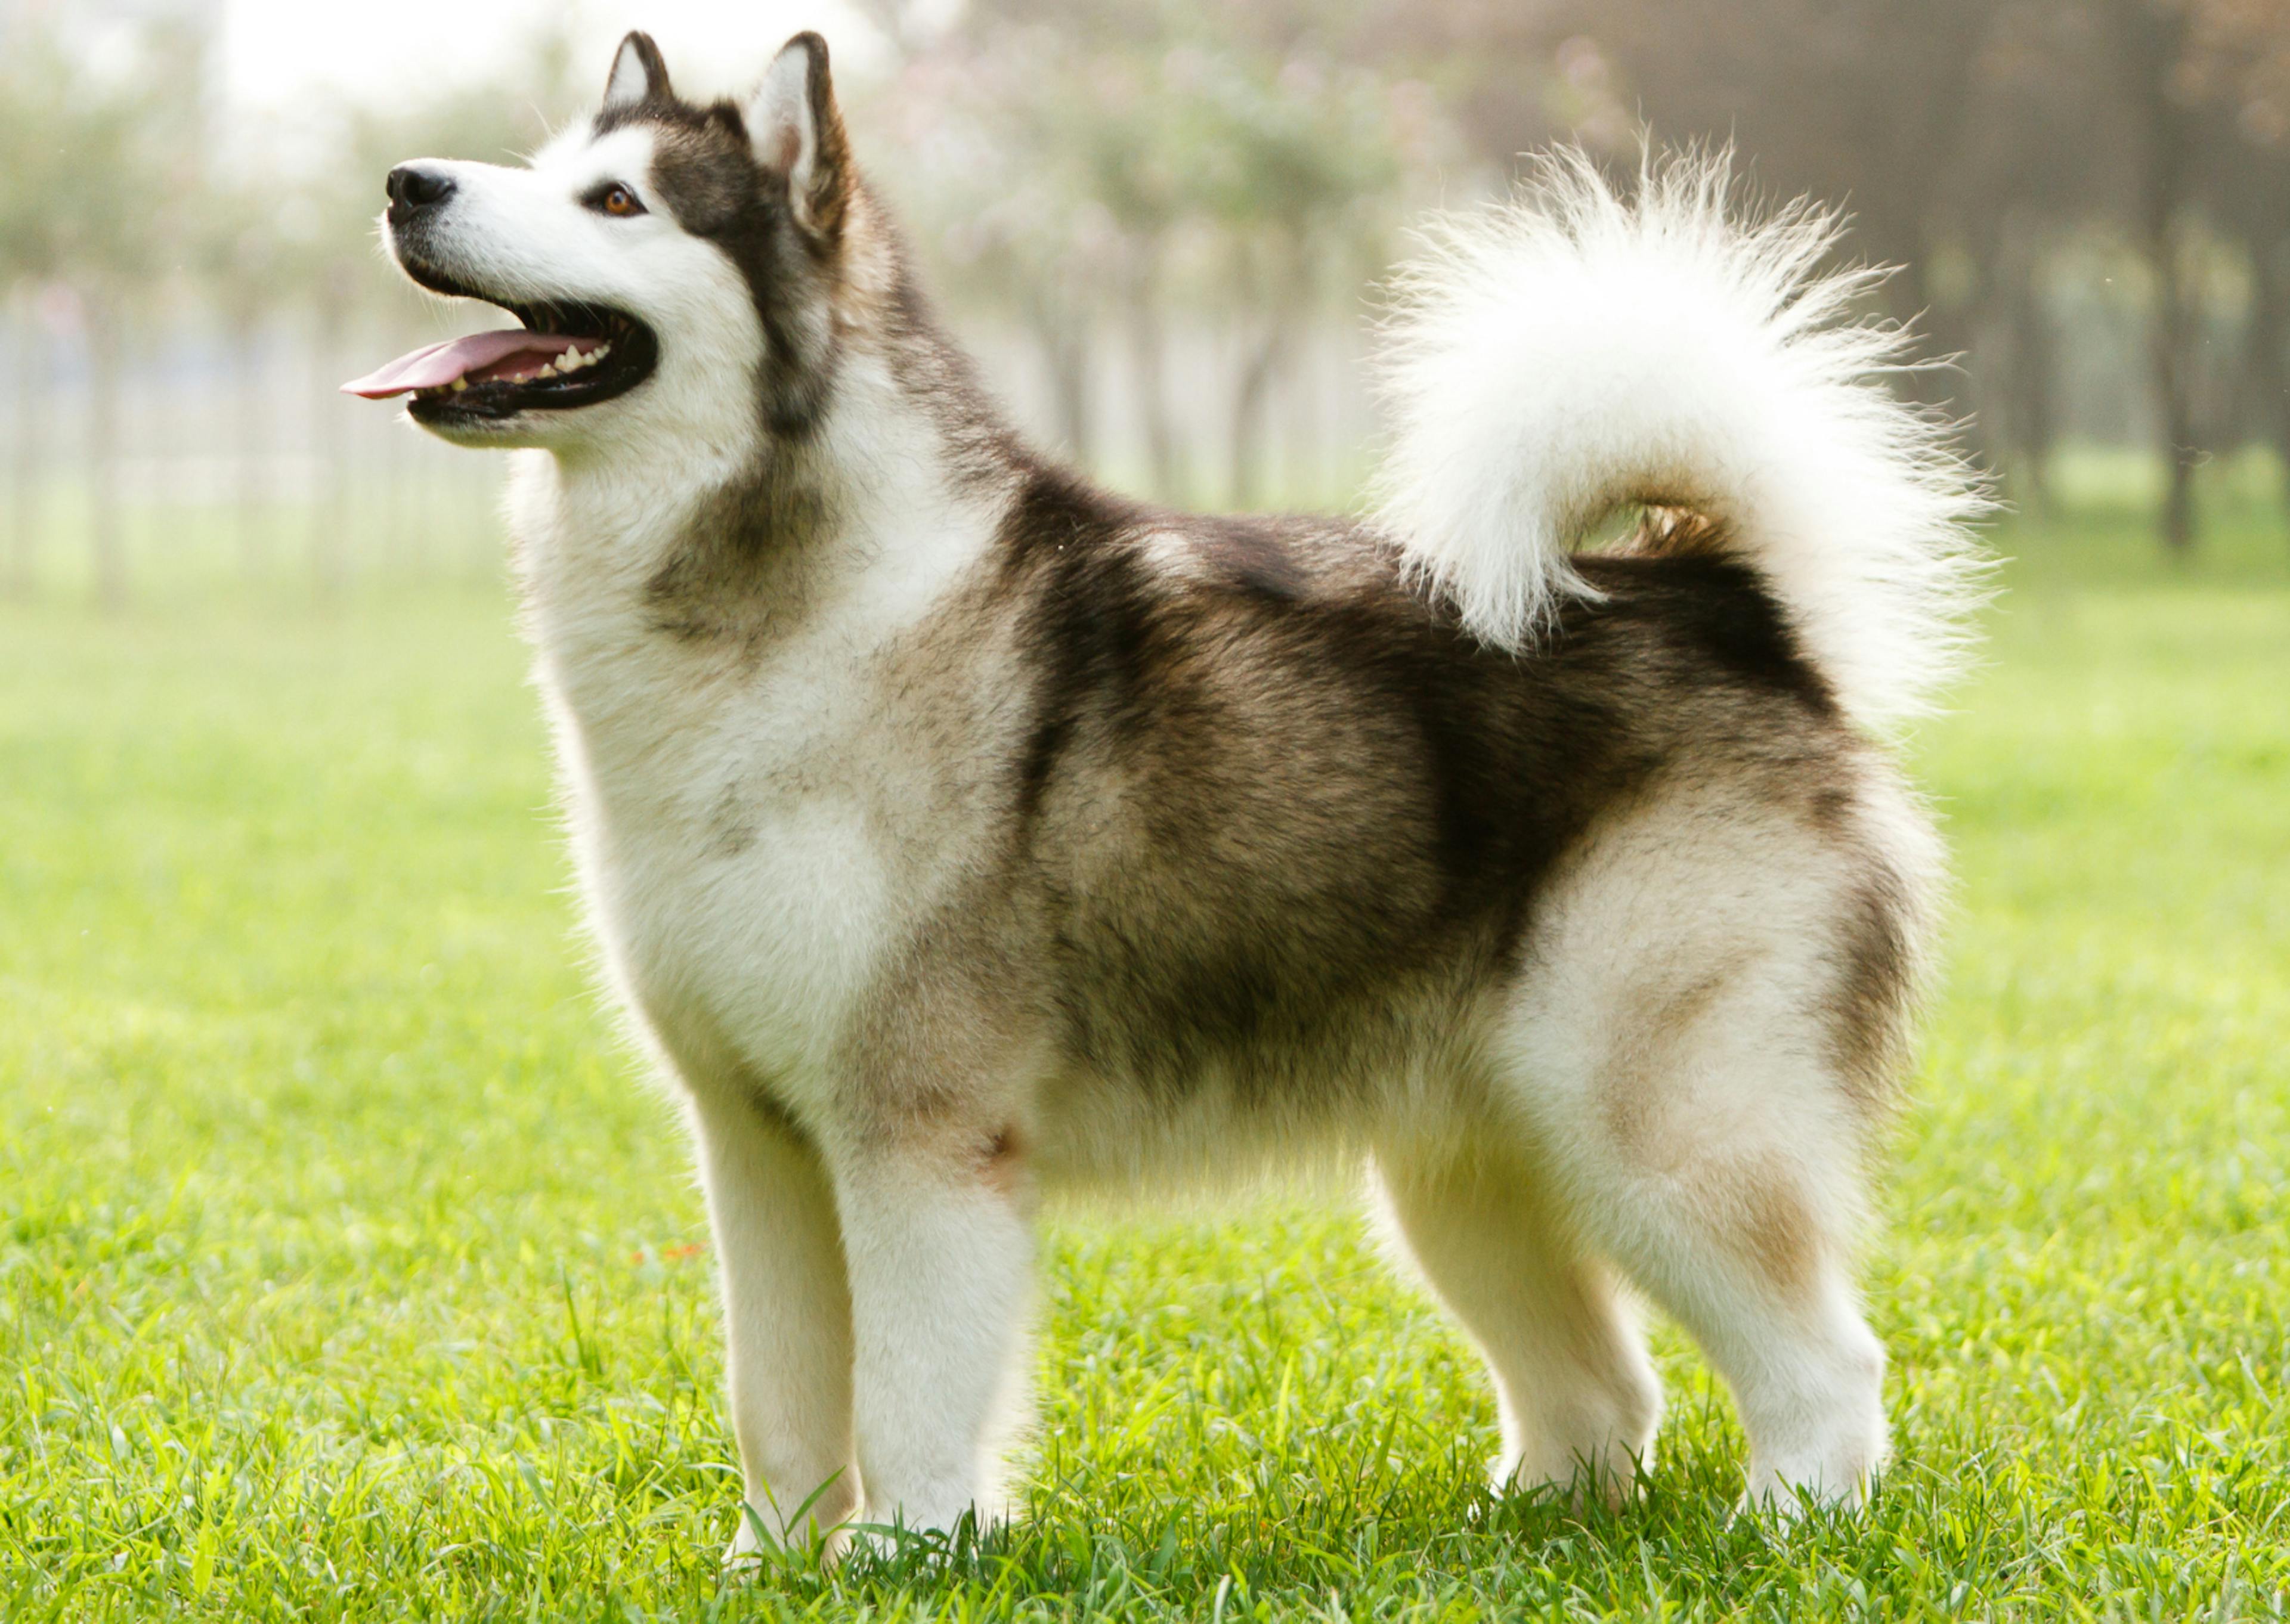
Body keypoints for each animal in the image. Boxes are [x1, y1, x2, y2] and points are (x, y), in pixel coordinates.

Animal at [344, 32, 1988, 1557]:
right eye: (539, 163)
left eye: (615, 201)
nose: (407, 182)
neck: (773, 610)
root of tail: (1720, 599)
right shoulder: (754, 1142)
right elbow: (780, 1398)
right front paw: (775, 1565)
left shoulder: (916, 1133)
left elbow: (910, 1395)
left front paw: (905, 1554)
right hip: (1463, 1167)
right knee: (1602, 1395)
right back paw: (1526, 1524)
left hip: (1654, 1124)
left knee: (1826, 1363)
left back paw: (1786, 1525)